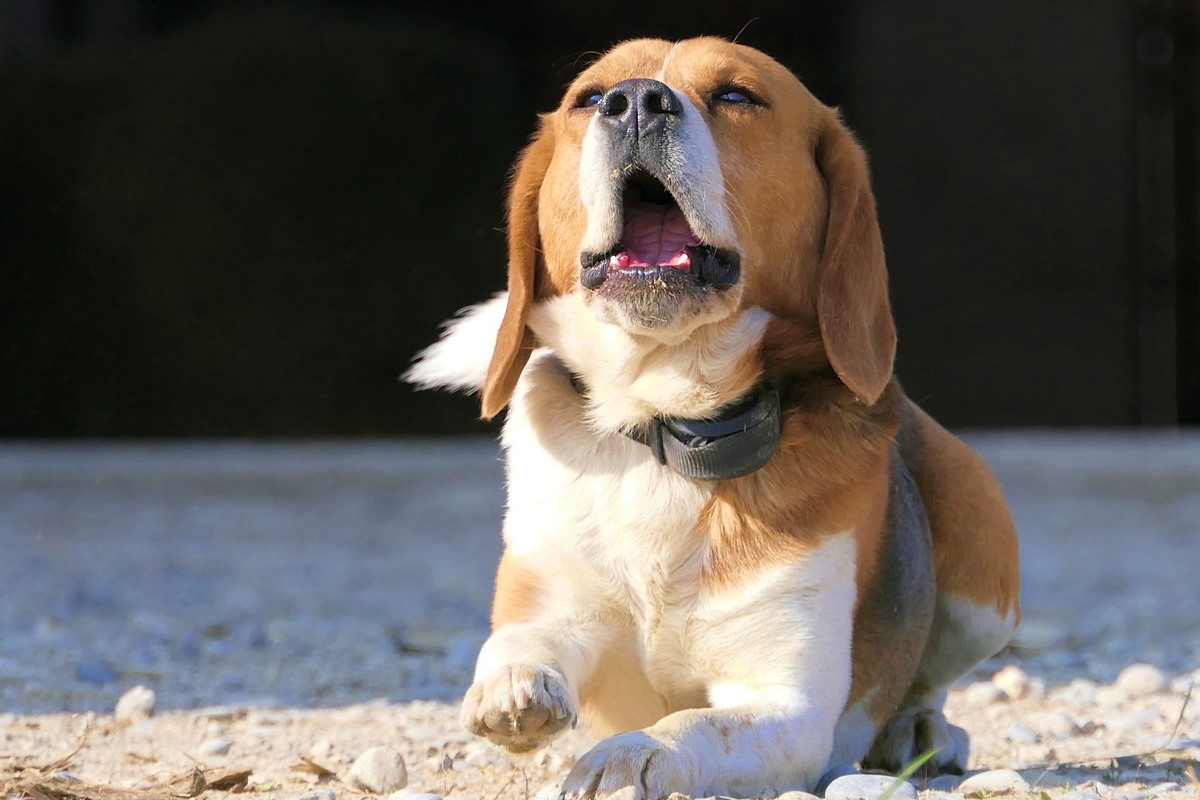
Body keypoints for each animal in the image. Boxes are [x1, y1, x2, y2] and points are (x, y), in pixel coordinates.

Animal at [408, 35, 1017, 800]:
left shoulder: (787, 706)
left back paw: (922, 732)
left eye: (736, 95)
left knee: (930, 683)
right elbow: (519, 642)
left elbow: (692, 725)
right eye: (589, 96)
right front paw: (516, 686)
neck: (665, 426)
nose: (636, 101)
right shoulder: (550, 597)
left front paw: (630, 754)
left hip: (984, 555)